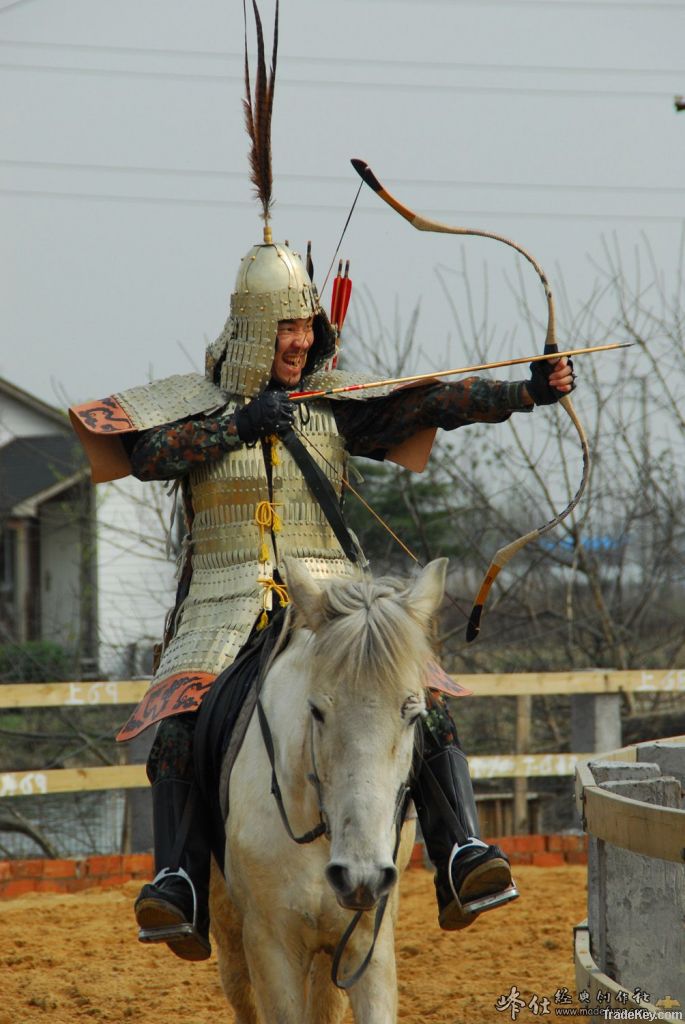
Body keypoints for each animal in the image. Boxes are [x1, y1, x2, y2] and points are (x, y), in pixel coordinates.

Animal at [210, 561, 446, 1024]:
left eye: (413, 715)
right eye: (317, 711)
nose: (360, 876)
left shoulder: (367, 946)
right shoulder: (271, 947)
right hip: (229, 931)